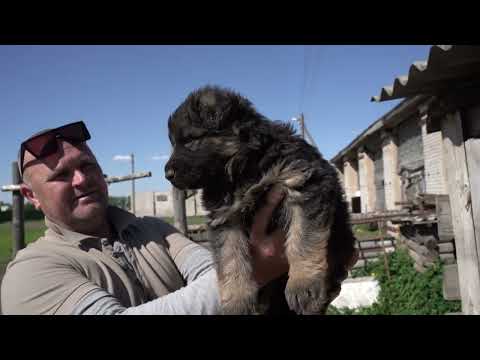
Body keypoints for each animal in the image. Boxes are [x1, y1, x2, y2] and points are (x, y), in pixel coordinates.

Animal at [165, 86, 356, 314]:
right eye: (174, 143)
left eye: (191, 140)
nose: (167, 174)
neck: (243, 169)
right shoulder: (225, 217)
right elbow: (230, 258)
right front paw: (237, 301)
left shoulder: (302, 183)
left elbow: (302, 238)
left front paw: (303, 284)